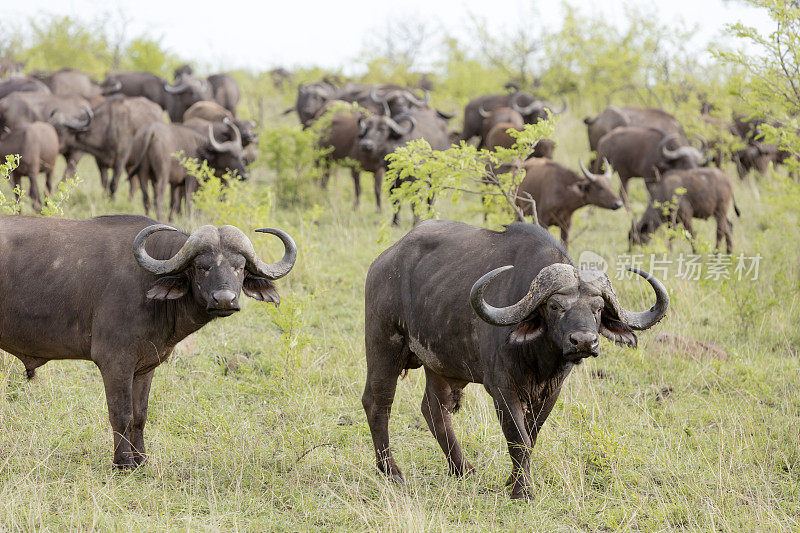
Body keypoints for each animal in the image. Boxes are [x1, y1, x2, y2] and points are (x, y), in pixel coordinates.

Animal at [0, 214, 296, 468]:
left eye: (240, 267)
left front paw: (141, 460)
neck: (148, 286)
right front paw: (123, 463)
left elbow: (140, 415)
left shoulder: (145, 367)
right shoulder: (115, 363)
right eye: (201, 266)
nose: (224, 300)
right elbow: (121, 414)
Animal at [364, 218, 668, 496]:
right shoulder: (502, 389)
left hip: (441, 366)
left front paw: (514, 481)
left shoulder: (551, 391)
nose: (584, 341)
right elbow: (517, 437)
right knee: (378, 403)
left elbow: (531, 436)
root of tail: (383, 261)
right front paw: (522, 491)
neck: (538, 359)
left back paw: (462, 469)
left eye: (598, 308)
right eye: (555, 306)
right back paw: (392, 471)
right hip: (383, 348)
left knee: (434, 409)